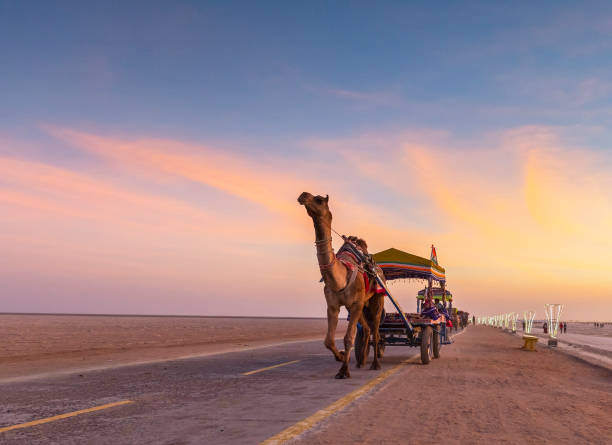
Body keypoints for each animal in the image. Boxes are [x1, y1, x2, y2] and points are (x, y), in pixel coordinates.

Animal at [296, 192, 382, 378]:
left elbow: (348, 338)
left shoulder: (356, 303)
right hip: (359, 305)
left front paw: (343, 370)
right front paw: (341, 357)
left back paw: (375, 364)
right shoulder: (333, 305)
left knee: (376, 329)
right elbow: (328, 340)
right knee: (367, 329)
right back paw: (361, 361)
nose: (303, 195)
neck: (340, 278)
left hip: (377, 298)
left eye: (319, 200)